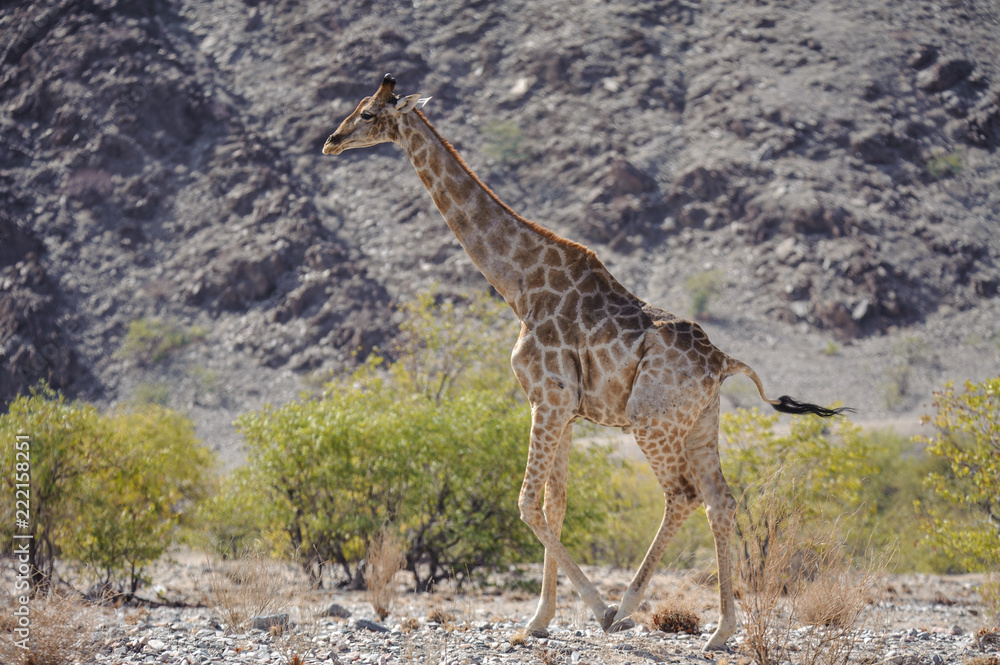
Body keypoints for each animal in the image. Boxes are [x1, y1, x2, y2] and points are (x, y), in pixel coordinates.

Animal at [322, 73, 847, 651]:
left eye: (368, 113)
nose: (331, 141)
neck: (519, 284)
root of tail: (724, 362)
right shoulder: (565, 409)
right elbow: (557, 505)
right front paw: (538, 620)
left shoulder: (547, 399)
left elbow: (527, 503)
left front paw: (592, 609)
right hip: (700, 424)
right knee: (721, 500)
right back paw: (720, 631)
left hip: (651, 420)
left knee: (683, 495)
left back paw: (627, 606)